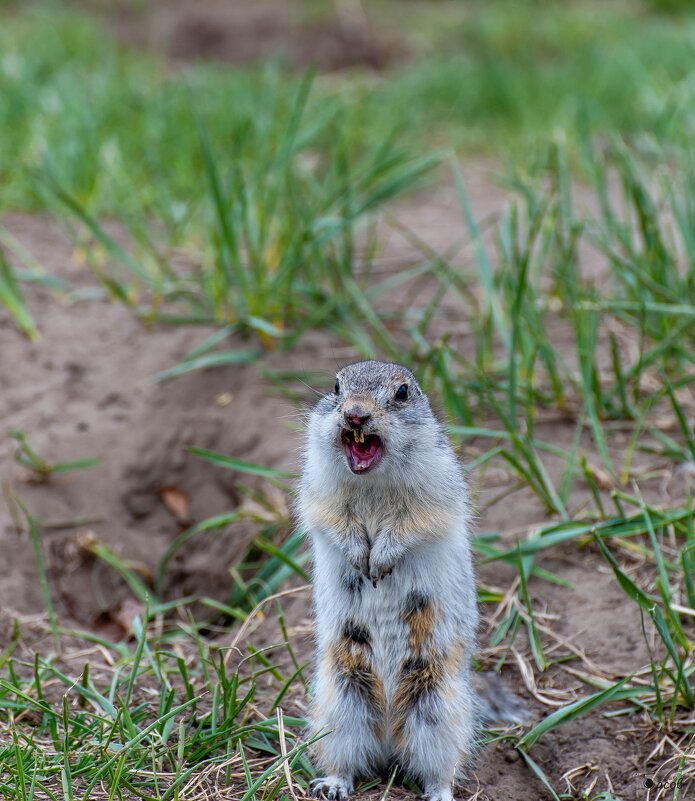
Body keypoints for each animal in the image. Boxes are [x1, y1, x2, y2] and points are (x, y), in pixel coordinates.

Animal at [296, 360, 502, 800]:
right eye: (336, 387)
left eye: (403, 392)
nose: (356, 415)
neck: (371, 482)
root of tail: (390, 731)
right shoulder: (318, 492)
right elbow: (331, 519)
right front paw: (360, 557)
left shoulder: (434, 493)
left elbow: (412, 525)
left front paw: (381, 561)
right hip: (341, 704)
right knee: (347, 758)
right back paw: (333, 785)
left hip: (438, 711)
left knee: (439, 767)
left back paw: (439, 793)